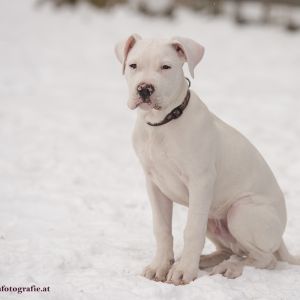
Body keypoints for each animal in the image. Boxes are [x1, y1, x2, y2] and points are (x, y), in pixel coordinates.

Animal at [115, 34, 300, 284]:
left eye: (166, 67)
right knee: (231, 249)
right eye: (133, 65)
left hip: (241, 211)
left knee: (265, 259)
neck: (162, 123)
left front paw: (184, 271)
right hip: (214, 218)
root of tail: (280, 237)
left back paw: (230, 267)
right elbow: (162, 229)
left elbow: (192, 230)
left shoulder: (201, 181)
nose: (144, 89)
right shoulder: (154, 183)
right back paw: (208, 260)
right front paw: (160, 266)